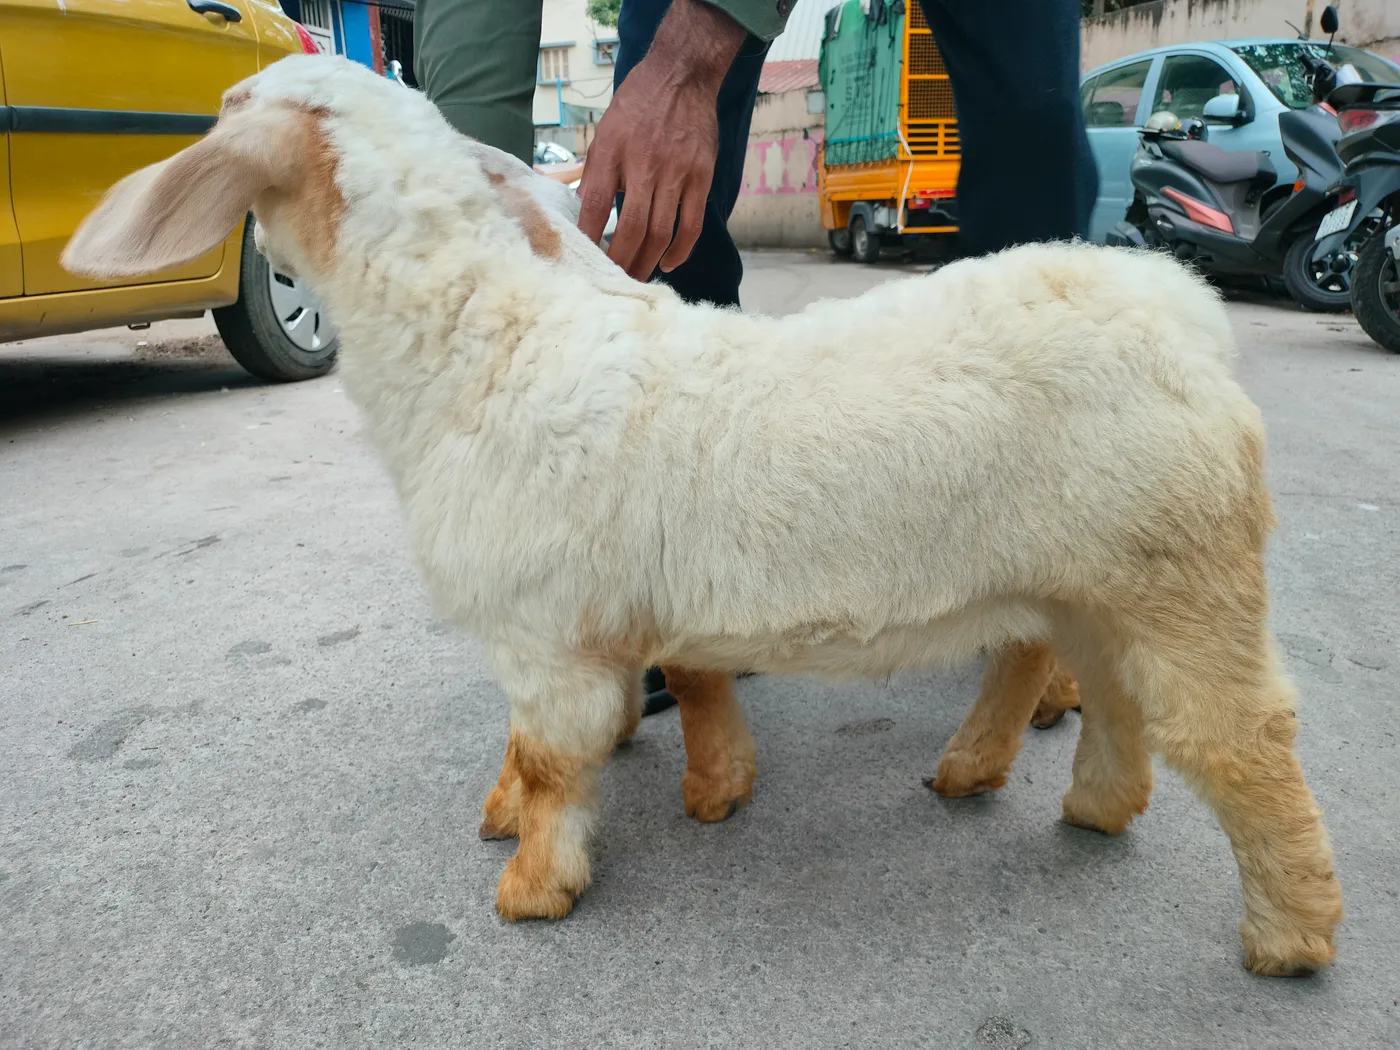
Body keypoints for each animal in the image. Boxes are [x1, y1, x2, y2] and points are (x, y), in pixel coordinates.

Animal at [62, 56, 1342, 977]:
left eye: (231, 108)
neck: (487, 342)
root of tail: (1180, 312)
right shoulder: (607, 615)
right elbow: (656, 699)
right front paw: (681, 792)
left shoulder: (544, 632)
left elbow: (553, 757)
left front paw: (533, 887)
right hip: (1095, 576)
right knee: (1117, 699)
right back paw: (1073, 800)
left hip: (1180, 572)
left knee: (1238, 737)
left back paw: (1288, 937)